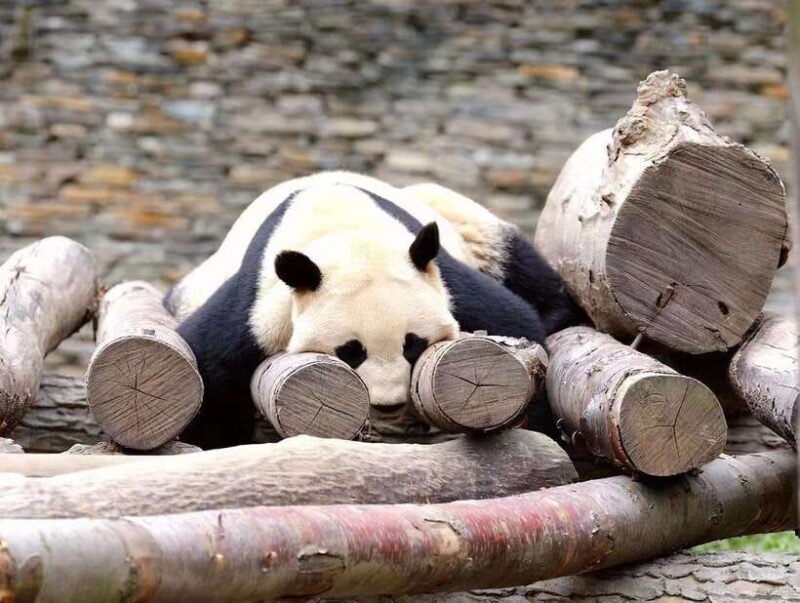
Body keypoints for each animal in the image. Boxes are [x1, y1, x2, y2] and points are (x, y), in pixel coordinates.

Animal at [167, 171, 584, 448]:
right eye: (350, 352)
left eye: (413, 344)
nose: (388, 405)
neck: (347, 234)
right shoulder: (259, 306)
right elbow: (210, 368)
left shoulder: (444, 281)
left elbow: (515, 325)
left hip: (457, 217)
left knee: (509, 254)